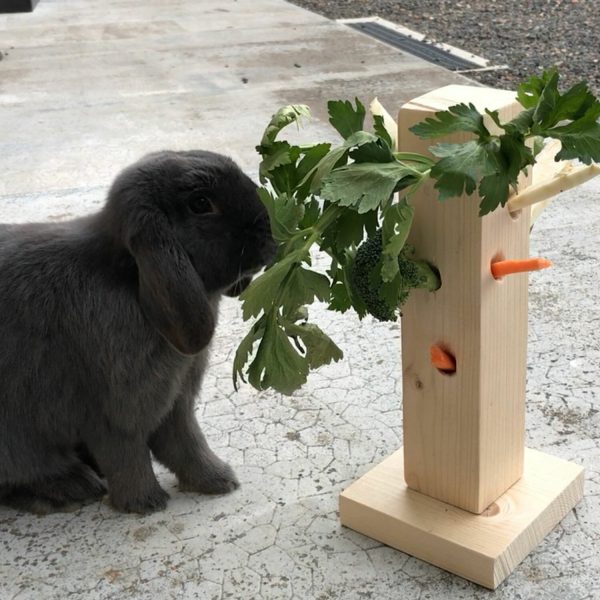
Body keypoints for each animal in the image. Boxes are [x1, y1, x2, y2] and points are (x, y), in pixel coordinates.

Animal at [0, 149, 276, 510]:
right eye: (201, 203)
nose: (271, 228)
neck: (128, 277)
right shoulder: (118, 412)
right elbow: (127, 455)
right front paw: (145, 503)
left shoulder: (176, 402)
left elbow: (186, 443)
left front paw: (219, 480)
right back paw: (72, 485)